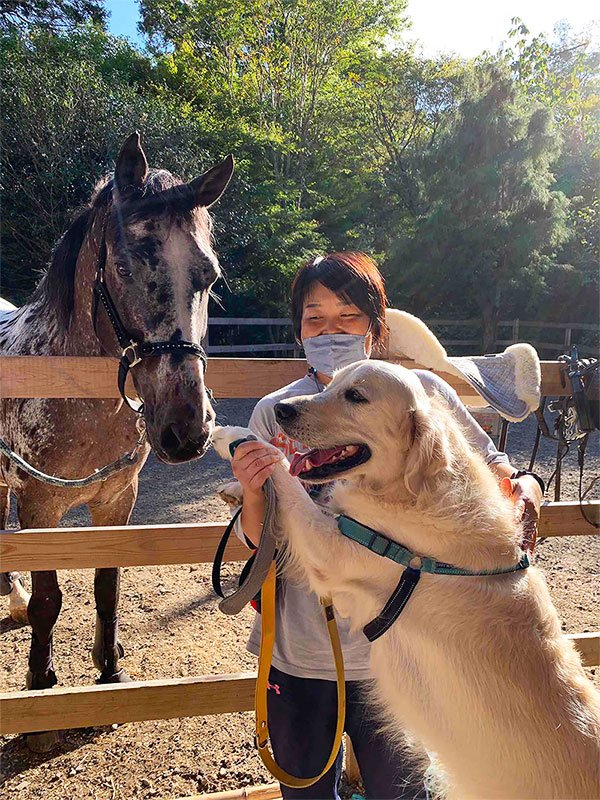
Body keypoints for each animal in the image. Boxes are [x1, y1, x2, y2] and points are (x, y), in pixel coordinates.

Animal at [0, 132, 233, 751]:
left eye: (209, 276)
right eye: (124, 267)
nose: (185, 429)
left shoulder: (115, 501)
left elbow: (107, 586)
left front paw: (109, 669)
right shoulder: (41, 507)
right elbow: (51, 601)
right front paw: (40, 689)